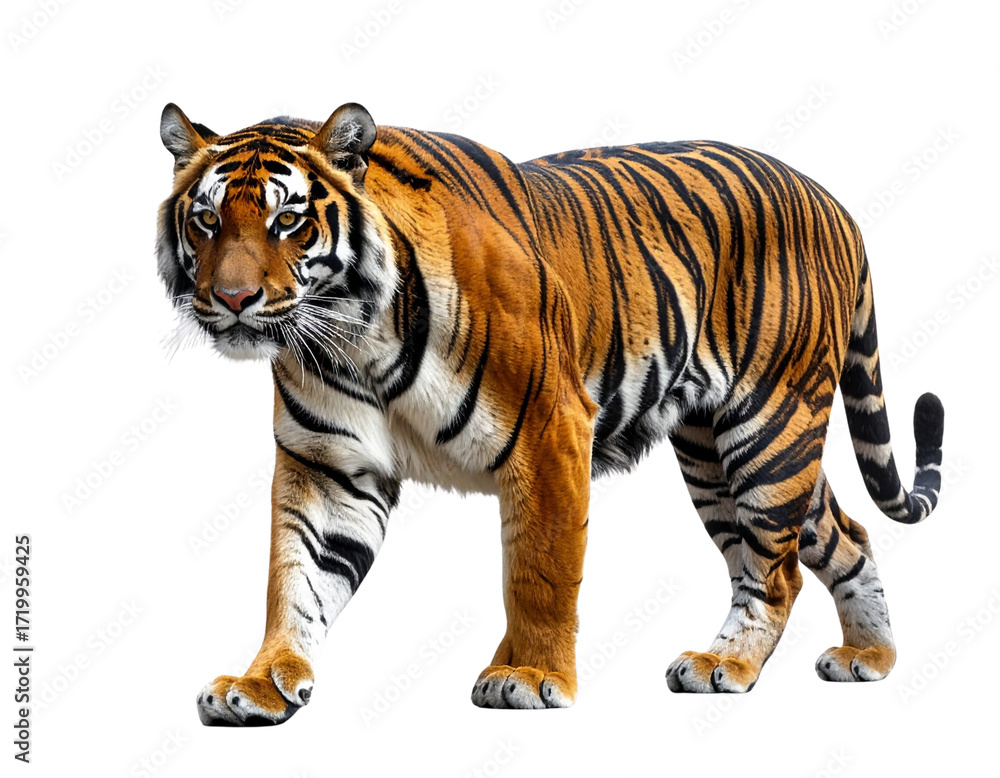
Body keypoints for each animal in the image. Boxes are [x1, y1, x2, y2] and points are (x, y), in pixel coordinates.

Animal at [156, 101, 945, 725]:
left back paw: (727, 666)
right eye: (206, 221)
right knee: (843, 536)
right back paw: (869, 656)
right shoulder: (328, 464)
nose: (232, 299)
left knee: (774, 572)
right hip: (718, 452)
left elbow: (539, 570)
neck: (353, 337)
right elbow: (297, 580)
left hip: (770, 430)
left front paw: (531, 678)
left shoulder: (550, 431)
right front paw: (261, 684)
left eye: (288, 220)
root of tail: (834, 202)